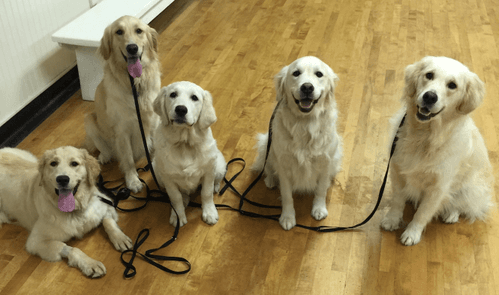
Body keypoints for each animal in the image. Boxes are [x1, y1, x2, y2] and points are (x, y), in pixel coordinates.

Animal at [0, 147, 133, 278]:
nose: (62, 179)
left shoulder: (105, 203)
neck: (74, 211)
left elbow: (108, 222)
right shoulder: (35, 241)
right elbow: (71, 249)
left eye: (74, 163)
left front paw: (120, 238)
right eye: (53, 163)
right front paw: (90, 263)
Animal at [84, 15, 161, 193]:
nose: (132, 48)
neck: (135, 84)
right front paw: (133, 181)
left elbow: (155, 149)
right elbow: (128, 158)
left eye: (139, 30)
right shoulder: (122, 131)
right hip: (89, 120)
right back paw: (104, 156)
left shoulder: (154, 122)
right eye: (119, 32)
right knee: (104, 148)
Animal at [152, 82, 227, 228]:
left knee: (216, 180)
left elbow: (206, 192)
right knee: (183, 194)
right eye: (173, 94)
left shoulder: (208, 171)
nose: (181, 109)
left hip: (219, 166)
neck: (184, 144)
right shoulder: (167, 177)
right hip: (157, 172)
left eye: (194, 98)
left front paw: (209, 212)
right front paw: (177, 215)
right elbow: (175, 197)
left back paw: (216, 187)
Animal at [254, 56, 344, 231]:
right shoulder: (284, 166)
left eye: (319, 74)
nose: (307, 87)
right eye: (296, 73)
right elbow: (287, 195)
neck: (305, 123)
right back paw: (270, 180)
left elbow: (321, 189)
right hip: (266, 144)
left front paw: (319, 209)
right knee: (268, 167)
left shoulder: (325, 161)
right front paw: (287, 217)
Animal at [380, 56, 494, 246]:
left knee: (461, 203)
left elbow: (423, 212)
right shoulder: (397, 171)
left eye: (452, 85)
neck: (425, 136)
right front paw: (392, 219)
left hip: (469, 188)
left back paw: (451, 214)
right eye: (429, 75)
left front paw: (412, 233)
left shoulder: (438, 187)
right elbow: (397, 200)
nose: (430, 96)